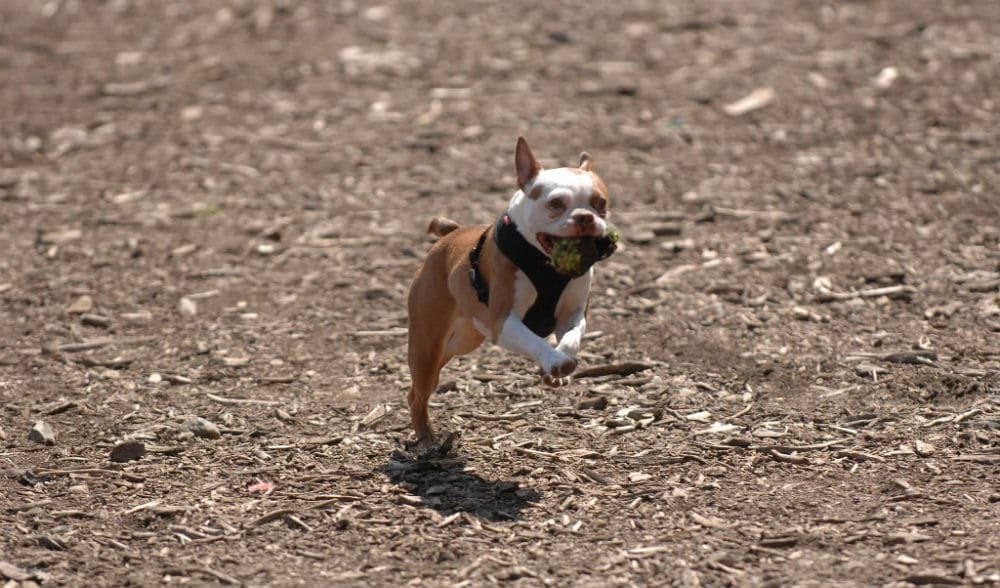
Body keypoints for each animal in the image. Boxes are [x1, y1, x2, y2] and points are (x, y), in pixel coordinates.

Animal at [404, 138, 608, 448]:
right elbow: (534, 341)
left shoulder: (572, 315)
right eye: (556, 203)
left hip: (462, 340)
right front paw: (555, 361)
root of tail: (450, 235)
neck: (545, 264)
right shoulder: (503, 322)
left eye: (601, 204)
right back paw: (426, 438)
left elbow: (571, 337)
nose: (585, 217)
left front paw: (558, 364)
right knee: (418, 394)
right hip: (428, 345)